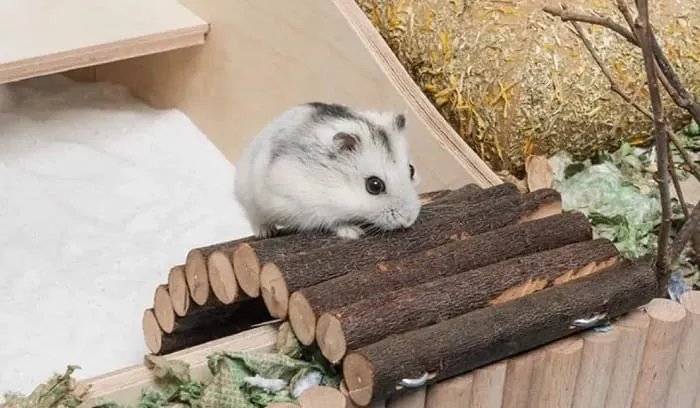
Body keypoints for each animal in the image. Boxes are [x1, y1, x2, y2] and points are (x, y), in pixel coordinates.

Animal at [234, 101, 422, 240]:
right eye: (374, 186)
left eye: (411, 170)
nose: (409, 220)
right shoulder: (305, 206)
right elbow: (332, 220)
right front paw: (353, 233)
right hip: (248, 198)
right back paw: (266, 233)